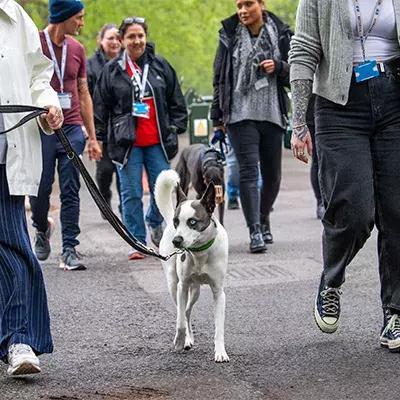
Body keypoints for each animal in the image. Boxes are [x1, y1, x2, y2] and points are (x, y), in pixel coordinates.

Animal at [155, 169, 230, 362]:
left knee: (188, 310)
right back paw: (187, 339)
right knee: (183, 312)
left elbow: (219, 327)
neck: (200, 253)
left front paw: (220, 352)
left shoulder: (219, 292)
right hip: (174, 284)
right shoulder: (182, 287)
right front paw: (180, 341)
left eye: (192, 222)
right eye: (177, 222)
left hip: (195, 290)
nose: (176, 241)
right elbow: (180, 321)